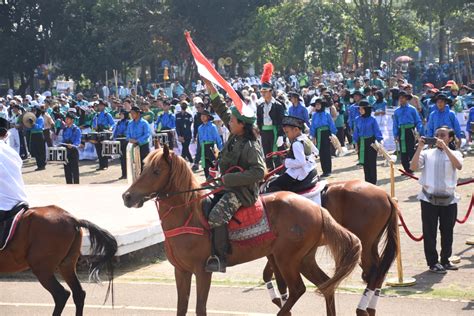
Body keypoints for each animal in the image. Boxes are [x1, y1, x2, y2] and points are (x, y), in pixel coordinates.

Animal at [123, 146, 362, 316]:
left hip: (287, 259)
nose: (127, 196)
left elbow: (200, 308)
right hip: (304, 259)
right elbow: (181, 308)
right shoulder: (180, 271)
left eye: (156, 171)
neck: (187, 215)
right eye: (143, 168)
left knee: (298, 289)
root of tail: (317, 209)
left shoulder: (202, 271)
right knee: (326, 285)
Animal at [262, 180, 400, 316]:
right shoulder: (277, 253)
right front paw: (279, 302)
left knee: (374, 272)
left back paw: (361, 309)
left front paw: (281, 303)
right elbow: (267, 275)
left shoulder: (280, 254)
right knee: (380, 271)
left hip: (364, 246)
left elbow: (275, 279)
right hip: (371, 245)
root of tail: (386, 195)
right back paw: (370, 308)